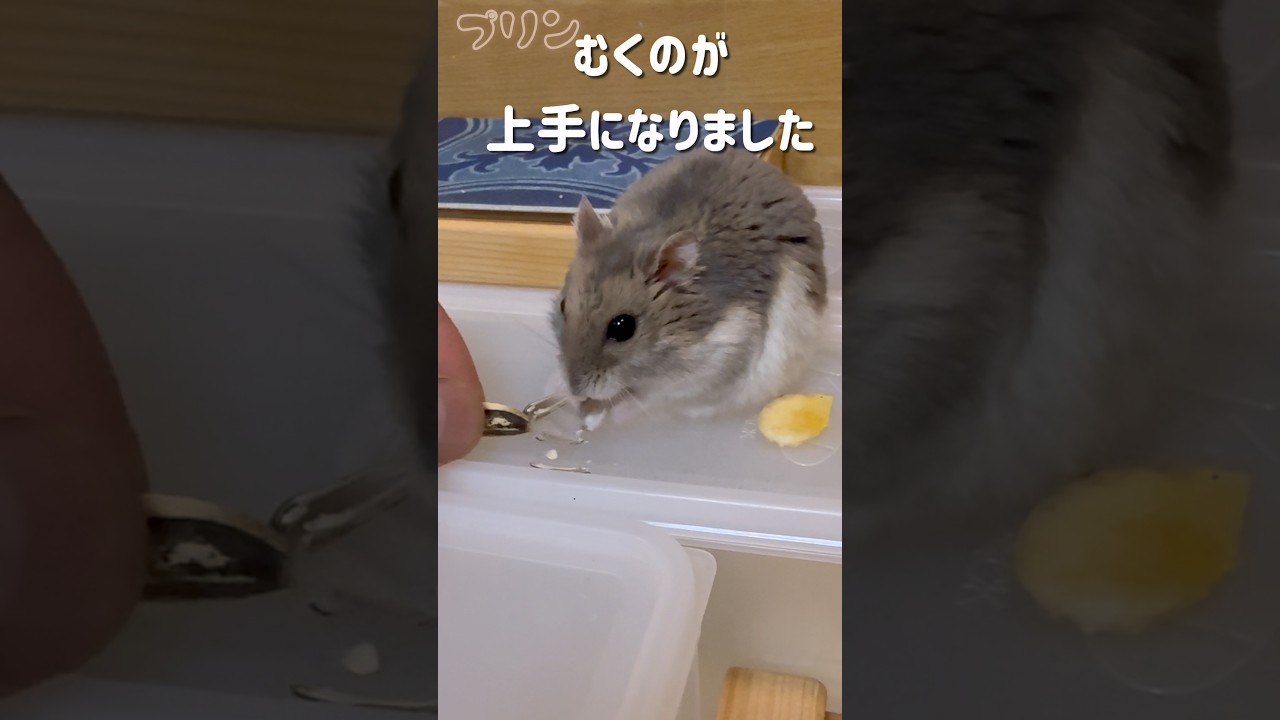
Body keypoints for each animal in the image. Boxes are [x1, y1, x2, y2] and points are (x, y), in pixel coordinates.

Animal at [550, 147, 829, 429]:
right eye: (563, 305)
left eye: (623, 327)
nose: (576, 390)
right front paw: (564, 396)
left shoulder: (711, 371)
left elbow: (655, 400)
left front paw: (610, 414)